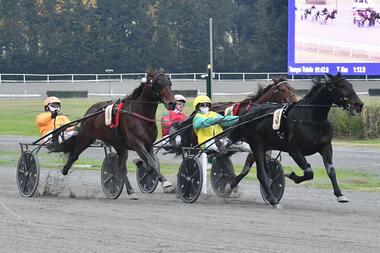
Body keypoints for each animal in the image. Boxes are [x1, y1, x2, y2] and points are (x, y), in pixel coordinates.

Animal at [47, 69, 177, 200]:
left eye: (170, 83)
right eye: (158, 84)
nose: (172, 103)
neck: (139, 115)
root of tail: (89, 112)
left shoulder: (149, 144)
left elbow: (152, 163)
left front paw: (144, 167)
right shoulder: (137, 144)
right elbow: (151, 162)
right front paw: (165, 181)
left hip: (120, 147)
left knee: (121, 168)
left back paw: (130, 191)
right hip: (86, 138)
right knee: (74, 155)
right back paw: (64, 170)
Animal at [230, 72, 364, 207]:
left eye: (350, 85)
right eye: (341, 86)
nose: (359, 105)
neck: (312, 118)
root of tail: (248, 113)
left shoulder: (326, 147)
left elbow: (331, 171)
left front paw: (340, 194)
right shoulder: (295, 150)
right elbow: (309, 172)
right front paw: (292, 175)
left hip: (264, 146)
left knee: (264, 172)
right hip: (256, 144)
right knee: (261, 174)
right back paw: (273, 200)